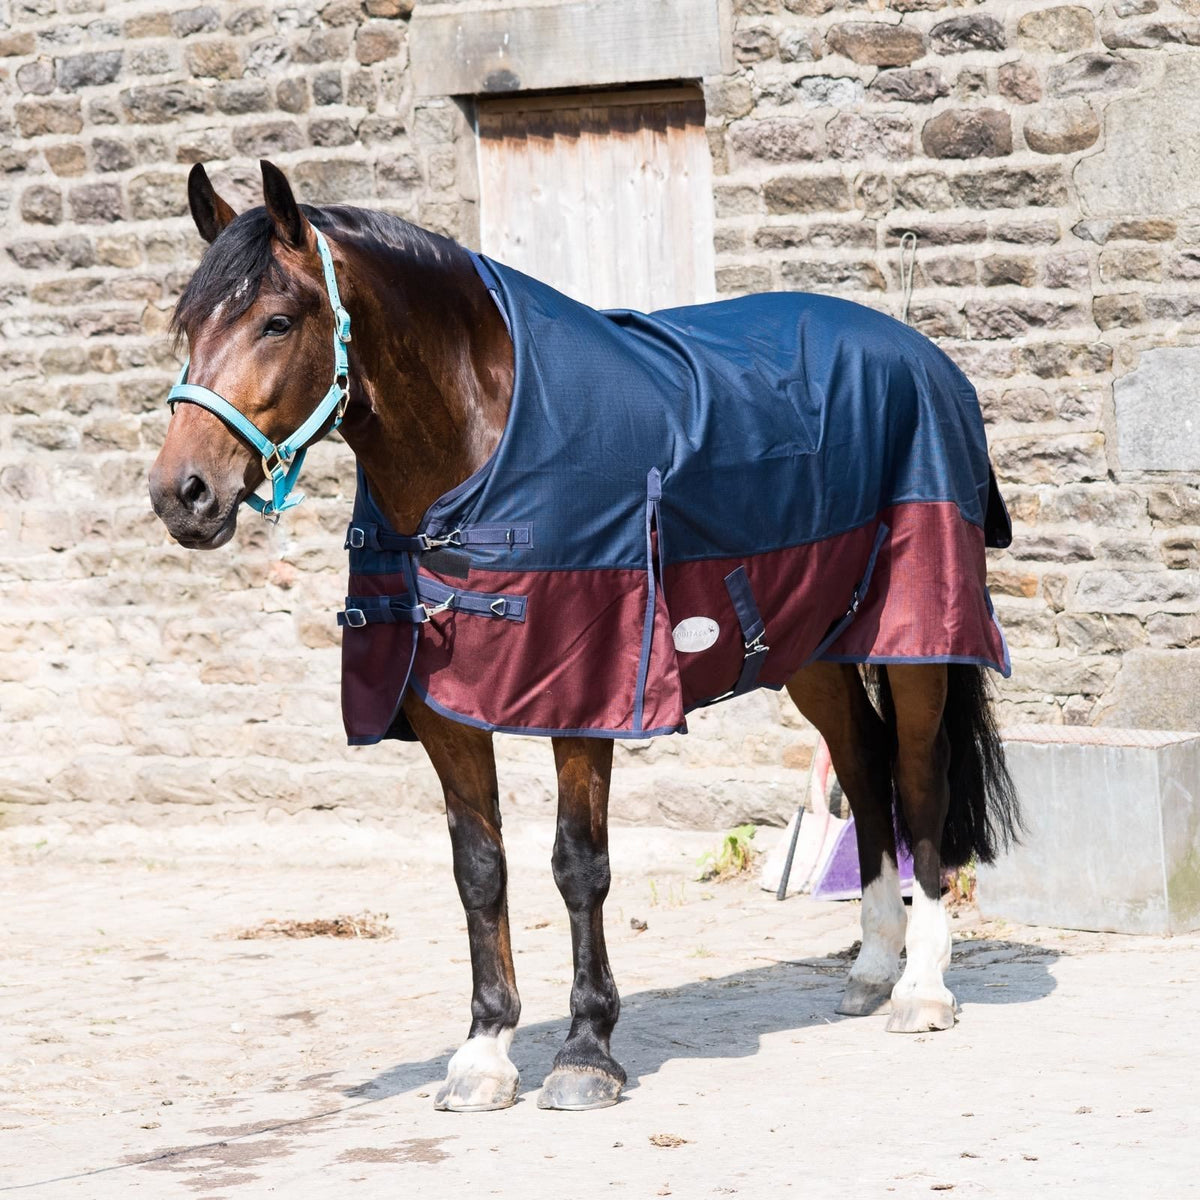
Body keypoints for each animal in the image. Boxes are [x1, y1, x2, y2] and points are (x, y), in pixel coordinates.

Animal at [149, 160, 1020, 1113]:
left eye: (276, 320)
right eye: (188, 324)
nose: (181, 494)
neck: (486, 440)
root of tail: (921, 354)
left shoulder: (588, 695)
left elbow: (578, 864)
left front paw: (586, 1052)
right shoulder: (444, 712)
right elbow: (479, 869)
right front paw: (485, 1052)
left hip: (915, 635)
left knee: (918, 777)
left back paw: (921, 987)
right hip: (811, 645)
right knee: (862, 768)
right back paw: (870, 967)